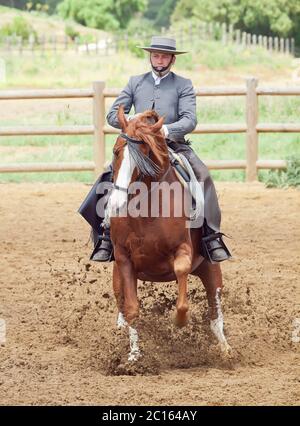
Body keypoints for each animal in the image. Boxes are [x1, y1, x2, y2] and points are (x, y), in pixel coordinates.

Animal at [109, 105, 231, 362]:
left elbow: (181, 276)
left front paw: (180, 321)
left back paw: (225, 349)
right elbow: (132, 309)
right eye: (116, 152)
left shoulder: (182, 249)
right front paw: (134, 356)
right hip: (117, 277)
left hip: (210, 268)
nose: (116, 204)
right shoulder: (124, 259)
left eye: (143, 157)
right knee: (122, 307)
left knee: (215, 311)